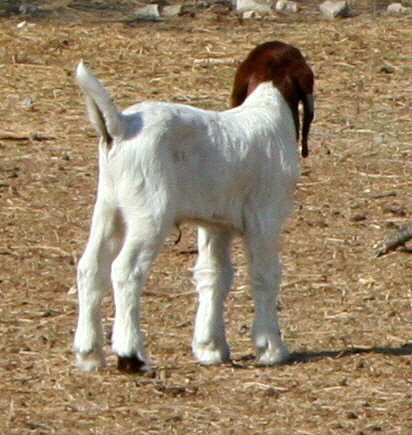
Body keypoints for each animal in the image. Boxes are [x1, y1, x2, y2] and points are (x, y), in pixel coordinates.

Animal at [74, 41, 314, 372]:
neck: (267, 106)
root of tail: (120, 126)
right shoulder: (264, 218)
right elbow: (264, 274)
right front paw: (270, 347)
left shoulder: (215, 225)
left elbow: (213, 274)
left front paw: (210, 348)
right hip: (150, 213)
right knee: (125, 270)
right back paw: (131, 355)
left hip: (109, 208)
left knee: (90, 267)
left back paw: (89, 354)